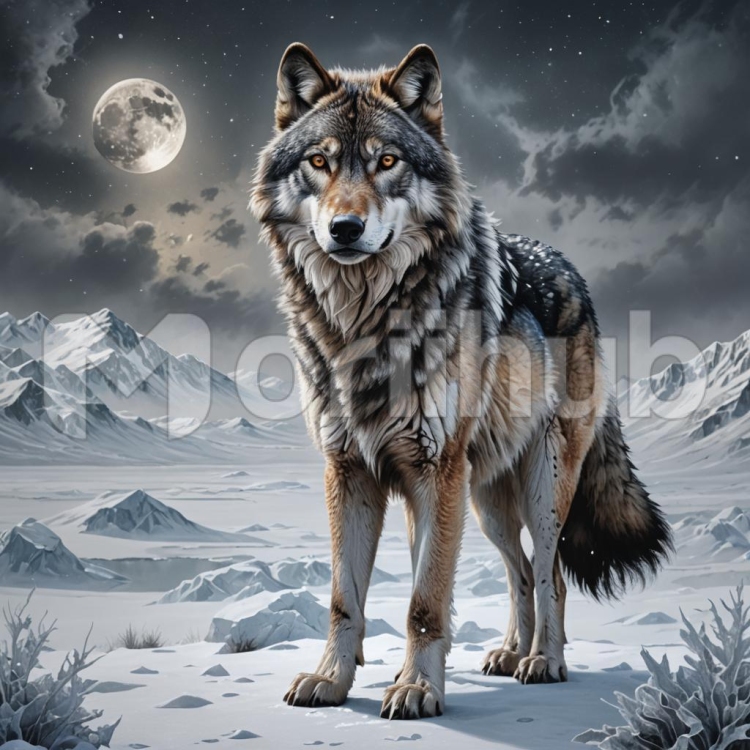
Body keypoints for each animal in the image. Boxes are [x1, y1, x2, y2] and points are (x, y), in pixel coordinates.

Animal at [250, 43, 673, 720]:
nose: (345, 229)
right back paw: (507, 654)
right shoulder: (350, 471)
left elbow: (425, 603)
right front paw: (332, 681)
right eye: (320, 162)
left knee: (550, 574)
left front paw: (418, 689)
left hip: (535, 488)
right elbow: (345, 599)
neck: (365, 321)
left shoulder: (435, 471)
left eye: (387, 161)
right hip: (485, 501)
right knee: (519, 572)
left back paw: (543, 662)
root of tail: (576, 277)